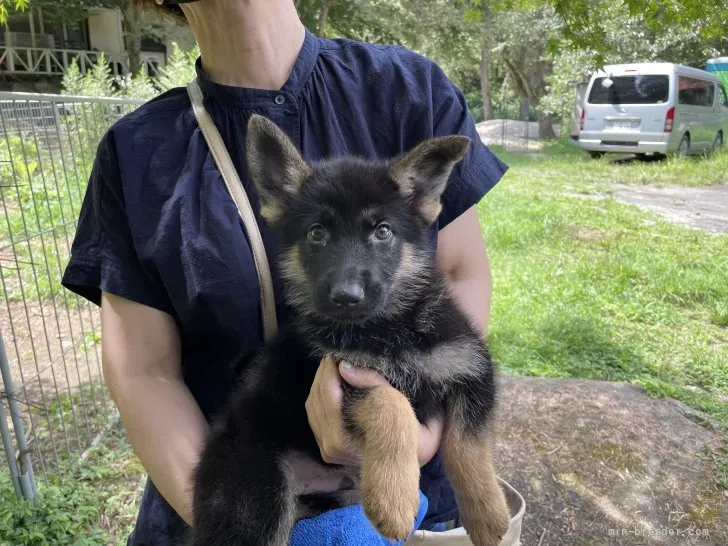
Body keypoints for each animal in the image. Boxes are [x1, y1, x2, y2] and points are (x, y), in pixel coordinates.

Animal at [186, 112, 506, 540]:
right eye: (317, 233)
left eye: (382, 231)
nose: (346, 296)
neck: (390, 329)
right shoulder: (343, 377)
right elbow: (390, 403)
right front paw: (395, 498)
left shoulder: (469, 369)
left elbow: (469, 447)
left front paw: (488, 514)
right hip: (254, 501)